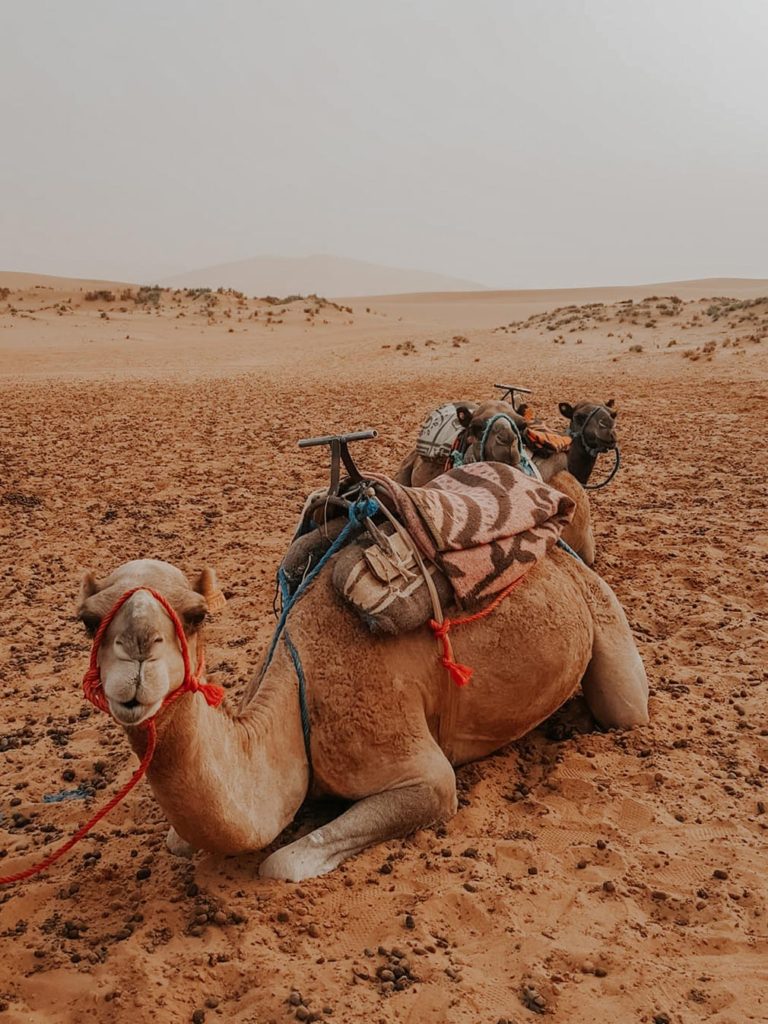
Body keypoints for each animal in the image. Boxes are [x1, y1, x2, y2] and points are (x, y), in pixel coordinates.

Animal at [76, 552, 648, 882]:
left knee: (625, 708)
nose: (137, 657)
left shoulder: (422, 774)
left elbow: (280, 863)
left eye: (196, 615)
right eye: (86, 620)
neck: (295, 705)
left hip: (602, 610)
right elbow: (177, 841)